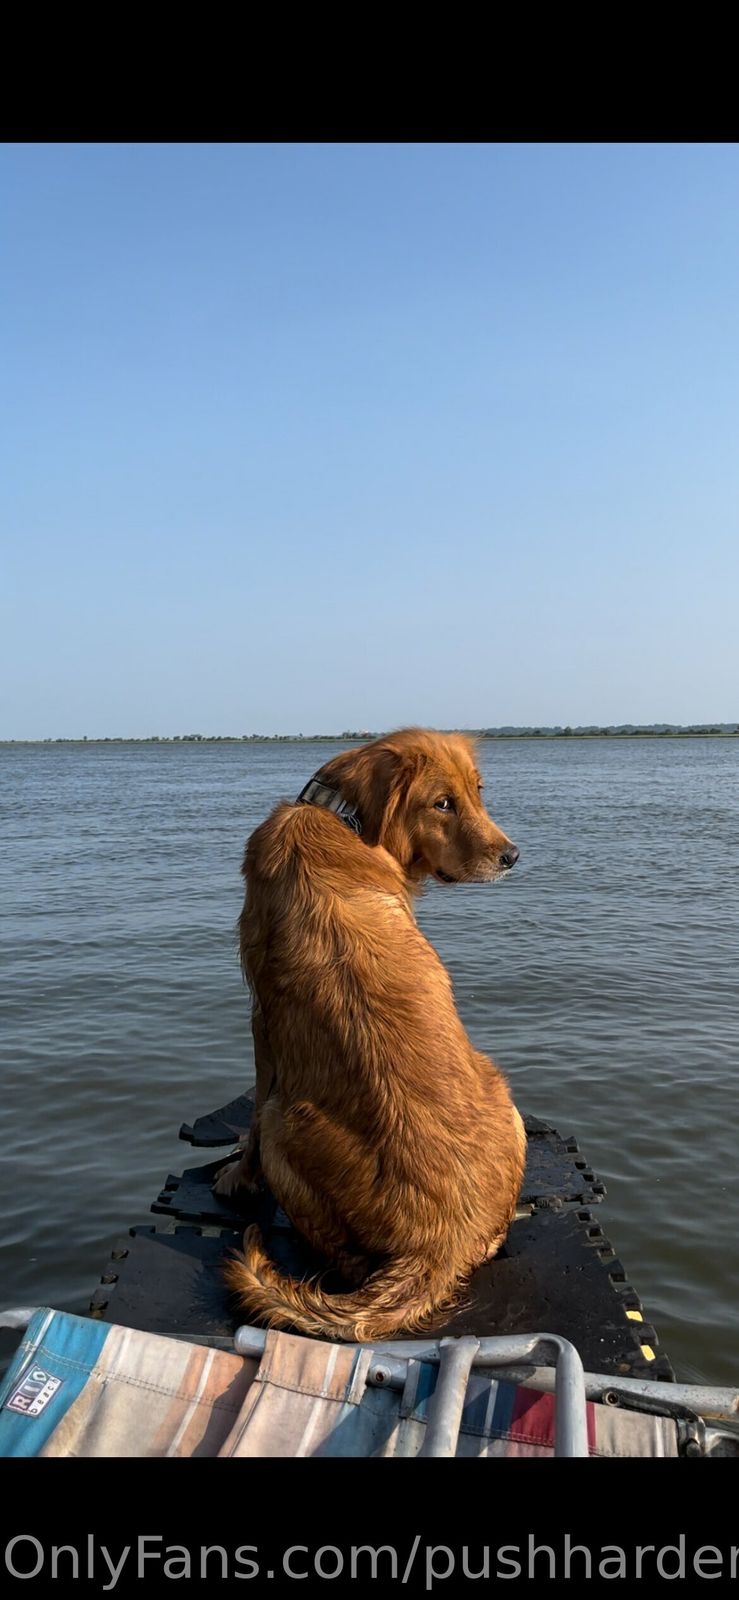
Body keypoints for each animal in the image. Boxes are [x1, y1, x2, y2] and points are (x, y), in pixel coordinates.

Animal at [218, 728, 526, 1341]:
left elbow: (254, 1112)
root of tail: (439, 1247)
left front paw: (240, 1174)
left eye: (475, 792)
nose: (511, 856)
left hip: (285, 1122)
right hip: (506, 1098)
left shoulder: (262, 1018)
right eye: (443, 803)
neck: (342, 818)